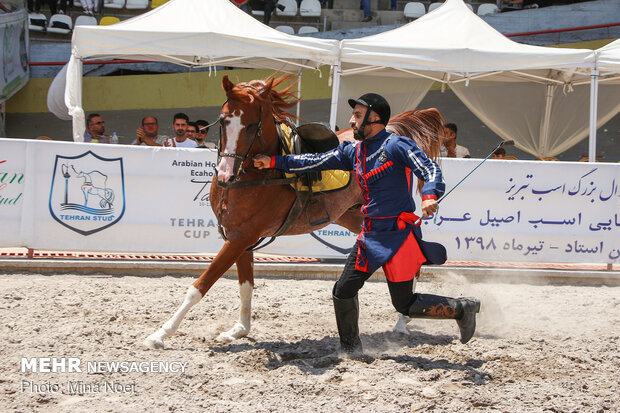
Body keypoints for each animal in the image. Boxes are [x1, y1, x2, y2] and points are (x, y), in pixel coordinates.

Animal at [145, 75, 446, 350]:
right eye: (222, 121)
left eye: (252, 125)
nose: (225, 174)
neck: (257, 177)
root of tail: (392, 131)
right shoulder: (239, 238)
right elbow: (245, 285)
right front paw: (239, 329)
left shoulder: (241, 237)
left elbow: (199, 286)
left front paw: (160, 334)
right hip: (352, 215)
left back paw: (402, 320)